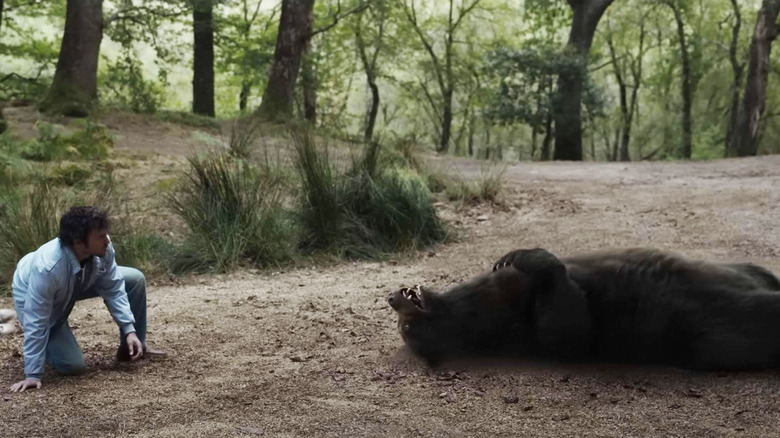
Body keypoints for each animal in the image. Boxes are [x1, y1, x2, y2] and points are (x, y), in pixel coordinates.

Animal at [387, 248, 780, 370]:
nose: (392, 298)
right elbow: (574, 328)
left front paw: (514, 257)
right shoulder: (533, 330)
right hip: (728, 330)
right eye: (407, 329)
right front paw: (533, 258)